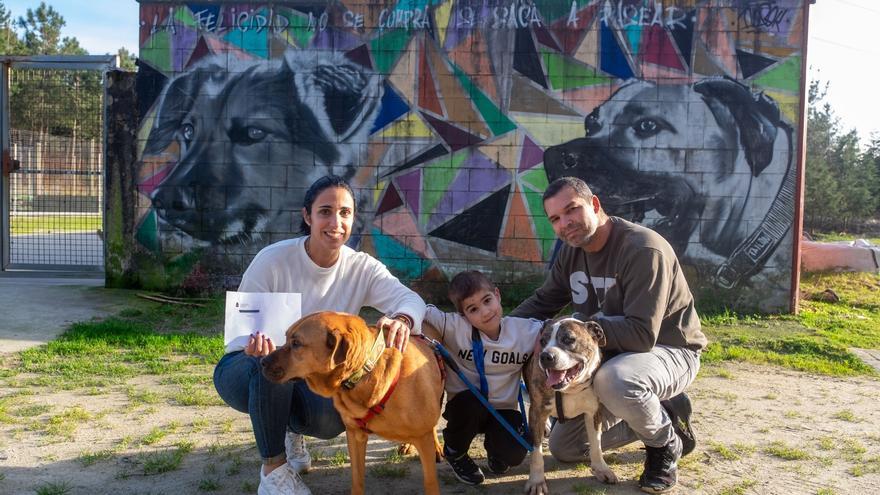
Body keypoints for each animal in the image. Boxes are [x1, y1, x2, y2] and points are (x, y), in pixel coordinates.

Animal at [260, 314, 440, 495]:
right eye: (286, 338)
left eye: (296, 343)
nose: (262, 361)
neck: (365, 370)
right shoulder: (355, 435)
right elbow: (357, 478)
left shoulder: (423, 437)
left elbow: (430, 482)